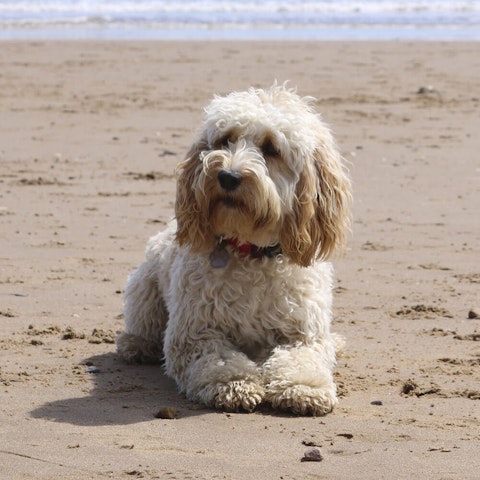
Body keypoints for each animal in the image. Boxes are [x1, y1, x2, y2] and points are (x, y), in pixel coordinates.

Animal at [116, 84, 348, 414]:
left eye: (271, 148)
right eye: (225, 139)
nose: (228, 176)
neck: (250, 251)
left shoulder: (303, 334)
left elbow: (303, 359)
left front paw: (304, 388)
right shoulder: (195, 332)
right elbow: (219, 360)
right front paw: (234, 384)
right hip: (144, 290)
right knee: (143, 325)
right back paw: (137, 344)